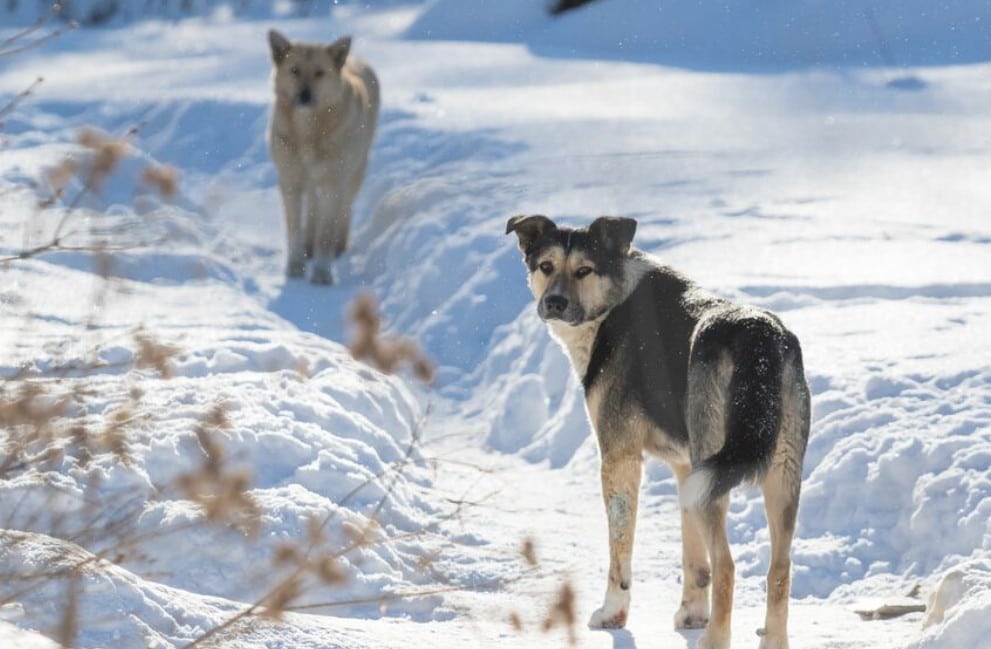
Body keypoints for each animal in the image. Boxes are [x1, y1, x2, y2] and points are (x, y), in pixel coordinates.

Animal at [508, 216, 808, 648]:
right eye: (546, 266)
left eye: (584, 270)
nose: (555, 303)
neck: (612, 303)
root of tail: (757, 335)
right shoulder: (686, 472)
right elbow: (693, 560)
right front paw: (691, 614)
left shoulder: (619, 457)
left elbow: (620, 551)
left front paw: (612, 613)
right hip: (777, 472)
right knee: (779, 571)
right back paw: (771, 638)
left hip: (718, 471)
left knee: (728, 566)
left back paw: (714, 640)